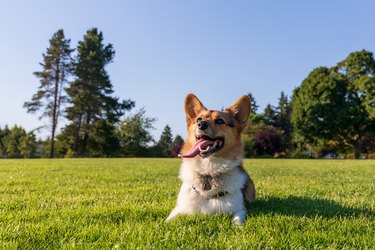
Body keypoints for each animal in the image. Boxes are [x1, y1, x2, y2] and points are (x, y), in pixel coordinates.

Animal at [167, 94, 256, 225]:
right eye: (198, 119)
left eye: (220, 121)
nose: (201, 124)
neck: (208, 171)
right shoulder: (180, 208)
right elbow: (168, 220)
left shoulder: (239, 209)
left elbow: (237, 220)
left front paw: (236, 227)